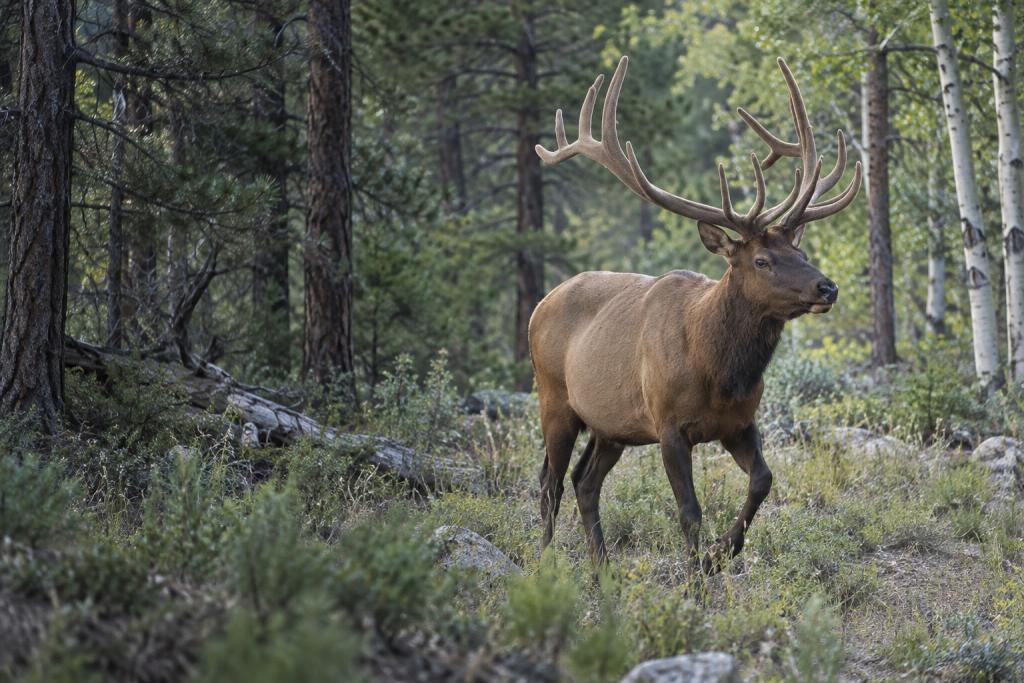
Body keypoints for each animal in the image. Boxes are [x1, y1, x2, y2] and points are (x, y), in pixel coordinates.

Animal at [530, 56, 861, 582]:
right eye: (762, 260)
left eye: (802, 252)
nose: (826, 287)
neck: (719, 372)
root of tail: (539, 305)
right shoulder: (668, 425)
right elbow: (689, 511)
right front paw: (695, 578)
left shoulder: (739, 422)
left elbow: (763, 481)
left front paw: (719, 554)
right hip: (554, 399)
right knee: (550, 483)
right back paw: (545, 568)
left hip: (611, 426)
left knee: (584, 482)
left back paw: (605, 572)